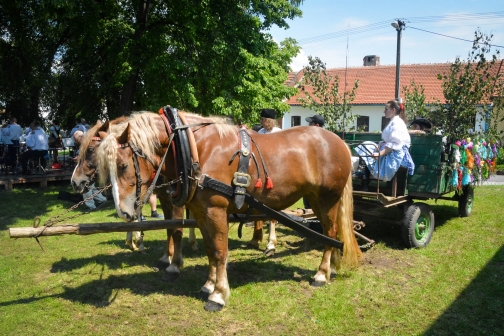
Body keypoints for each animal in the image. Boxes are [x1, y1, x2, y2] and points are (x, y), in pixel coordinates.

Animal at [71, 117, 197, 276]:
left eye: (91, 150)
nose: (74, 182)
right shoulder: (159, 196)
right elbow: (158, 223)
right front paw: (138, 243)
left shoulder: (172, 200)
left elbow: (175, 228)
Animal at [95, 111, 362, 312]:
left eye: (123, 165)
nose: (123, 212)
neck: (196, 149)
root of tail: (341, 143)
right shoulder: (201, 213)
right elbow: (210, 250)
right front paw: (208, 284)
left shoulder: (216, 210)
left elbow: (220, 252)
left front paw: (219, 295)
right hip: (316, 199)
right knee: (331, 233)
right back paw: (333, 267)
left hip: (328, 199)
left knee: (330, 233)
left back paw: (321, 274)